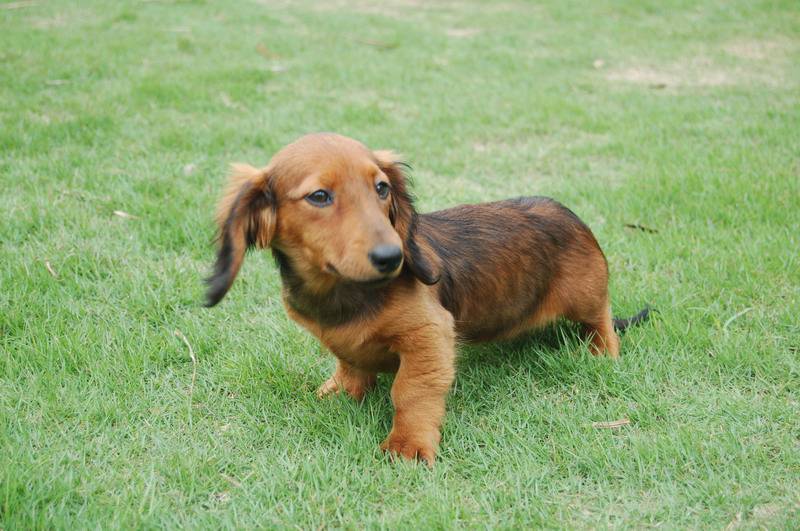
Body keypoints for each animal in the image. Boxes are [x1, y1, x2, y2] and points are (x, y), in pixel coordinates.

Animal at [206, 132, 648, 466]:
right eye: (319, 196)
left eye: (381, 188)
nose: (392, 257)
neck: (344, 294)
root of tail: (569, 214)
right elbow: (349, 363)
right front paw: (340, 391)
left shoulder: (429, 335)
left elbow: (410, 391)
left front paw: (408, 446)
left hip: (587, 297)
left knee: (602, 320)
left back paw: (601, 351)